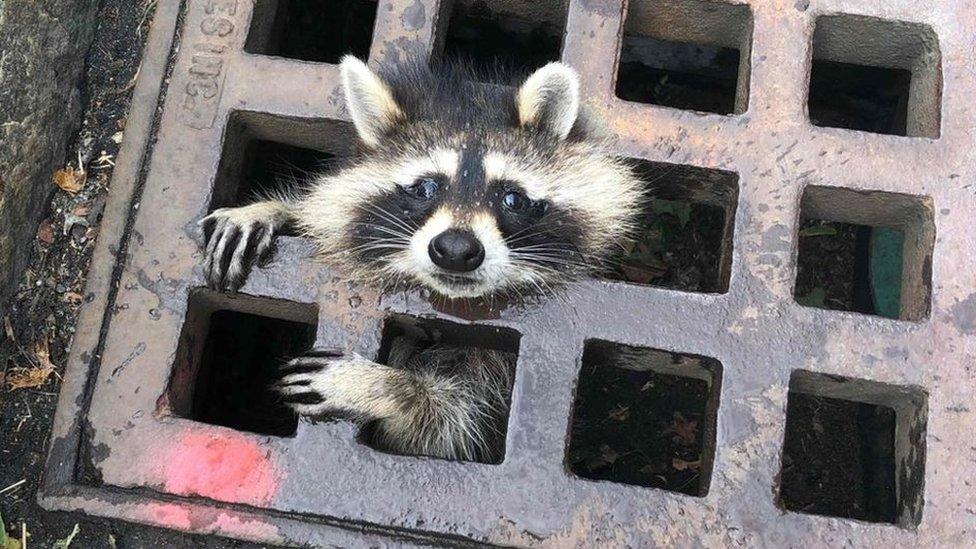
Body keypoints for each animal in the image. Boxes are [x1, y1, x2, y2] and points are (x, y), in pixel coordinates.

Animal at [199, 55, 644, 460]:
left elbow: (449, 424)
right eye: (425, 188)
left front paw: (387, 387)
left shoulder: (493, 380)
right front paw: (273, 209)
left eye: (512, 197)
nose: (456, 250)